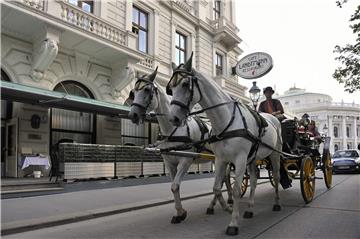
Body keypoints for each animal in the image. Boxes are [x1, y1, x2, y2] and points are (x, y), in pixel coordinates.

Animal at [127, 67, 233, 224]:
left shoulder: (185, 161)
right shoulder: (169, 163)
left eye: (146, 89)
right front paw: (179, 213)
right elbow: (173, 187)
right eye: (134, 92)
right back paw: (219, 203)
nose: (133, 115)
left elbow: (175, 185)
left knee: (222, 180)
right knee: (223, 179)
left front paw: (181, 212)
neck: (173, 130)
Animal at [167, 54, 284, 235]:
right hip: (252, 158)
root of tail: (273, 118)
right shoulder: (221, 159)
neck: (227, 120)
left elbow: (235, 190)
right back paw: (250, 208)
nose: (173, 118)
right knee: (254, 180)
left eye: (186, 84)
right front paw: (227, 209)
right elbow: (216, 187)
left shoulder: (240, 159)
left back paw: (277, 203)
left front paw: (233, 222)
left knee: (276, 177)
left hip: (274, 155)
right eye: (171, 88)